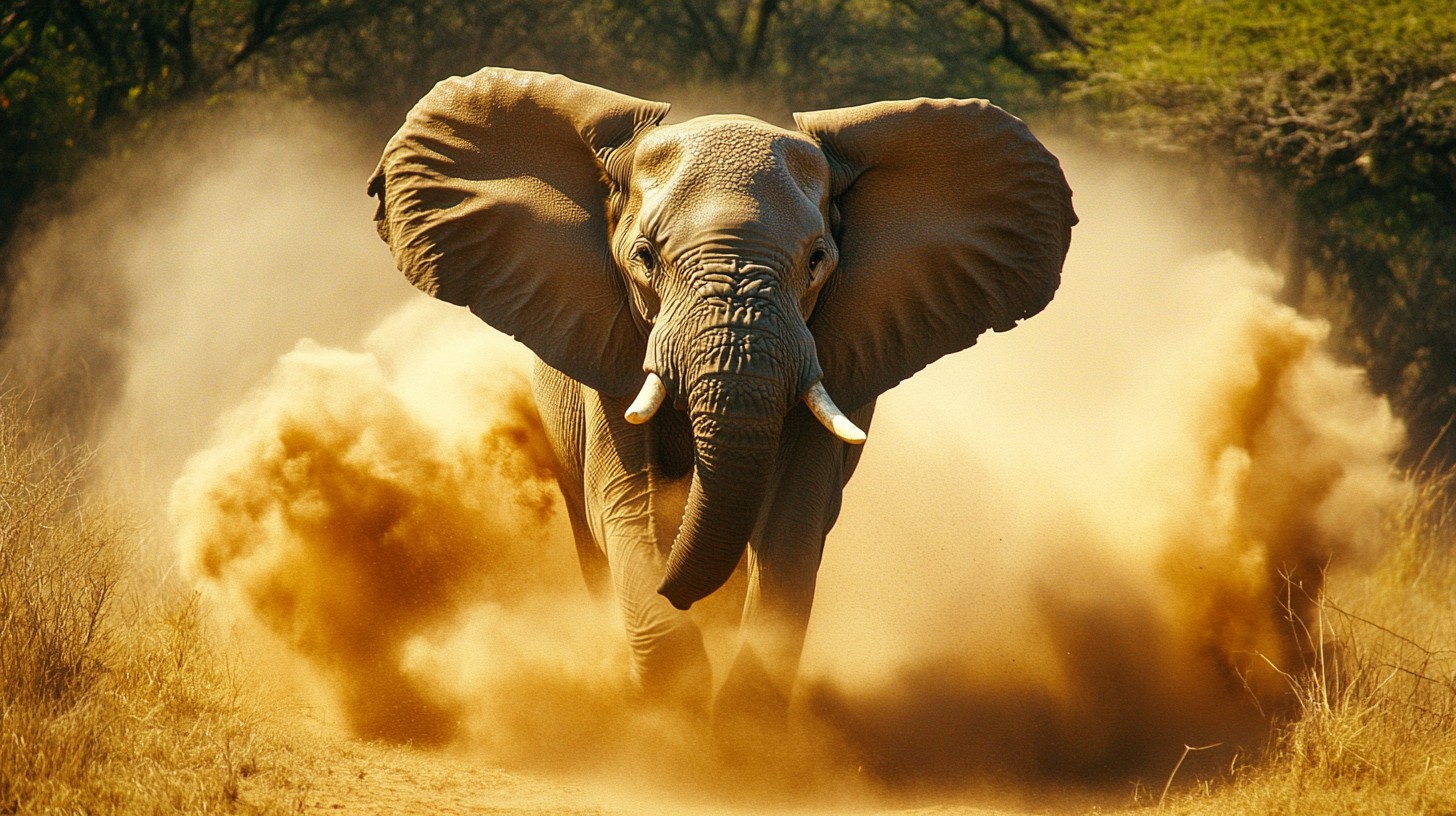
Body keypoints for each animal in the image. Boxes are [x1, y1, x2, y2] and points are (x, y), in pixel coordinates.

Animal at [368, 66, 1075, 719]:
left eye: (818, 260)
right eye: (645, 257)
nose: (676, 594)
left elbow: (792, 521)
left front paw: (741, 733)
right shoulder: (613, 349)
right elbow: (625, 505)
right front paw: (676, 712)